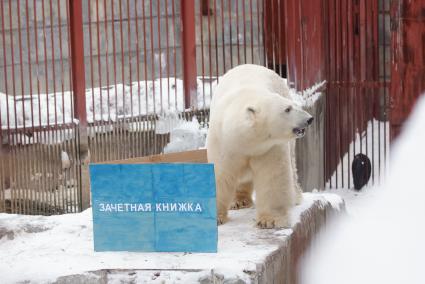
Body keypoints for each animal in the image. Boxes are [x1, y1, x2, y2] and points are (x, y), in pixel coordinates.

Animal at [205, 63, 312, 229]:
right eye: (287, 109)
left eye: (293, 106)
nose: (309, 119)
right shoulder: (222, 143)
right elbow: (221, 175)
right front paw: (216, 218)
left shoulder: (270, 146)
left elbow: (272, 176)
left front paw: (270, 220)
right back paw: (239, 202)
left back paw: (296, 197)